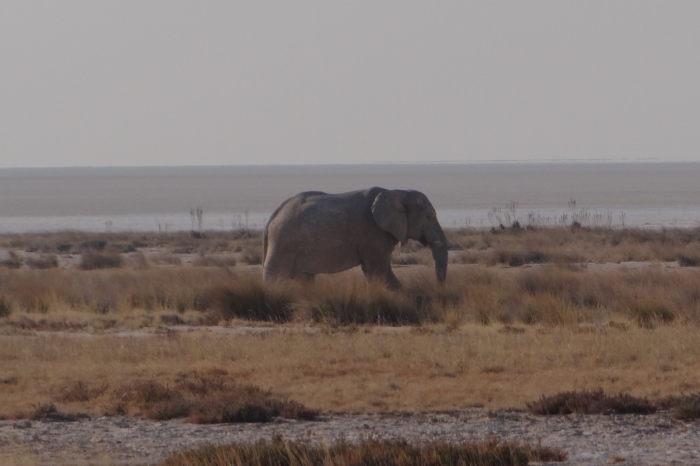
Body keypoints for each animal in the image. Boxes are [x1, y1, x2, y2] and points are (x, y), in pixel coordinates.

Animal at [262, 187, 447, 289]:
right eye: (428, 216)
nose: (438, 287)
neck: (398, 192)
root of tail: (270, 220)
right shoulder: (371, 231)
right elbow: (379, 269)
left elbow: (371, 271)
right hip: (283, 243)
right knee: (273, 277)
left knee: (305, 279)